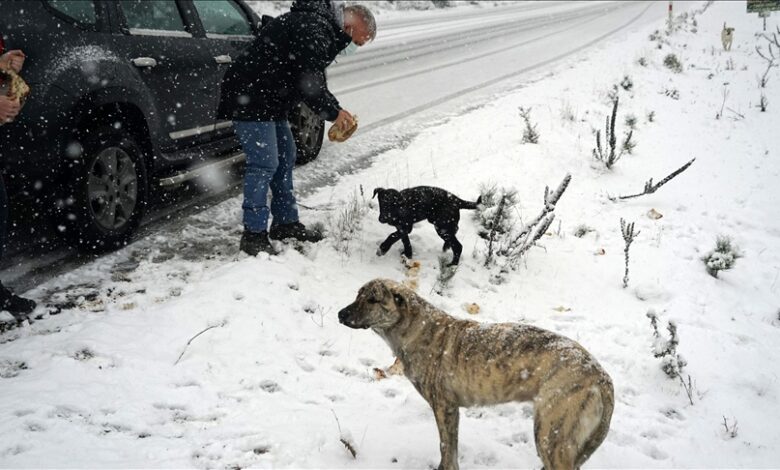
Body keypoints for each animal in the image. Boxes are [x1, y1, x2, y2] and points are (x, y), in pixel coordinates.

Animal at [338, 280, 612, 470]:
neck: (415, 329)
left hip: (551, 435)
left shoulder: (445, 407)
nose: (341, 314)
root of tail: (602, 379)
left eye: (373, 300)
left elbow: (447, 449)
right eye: (358, 295)